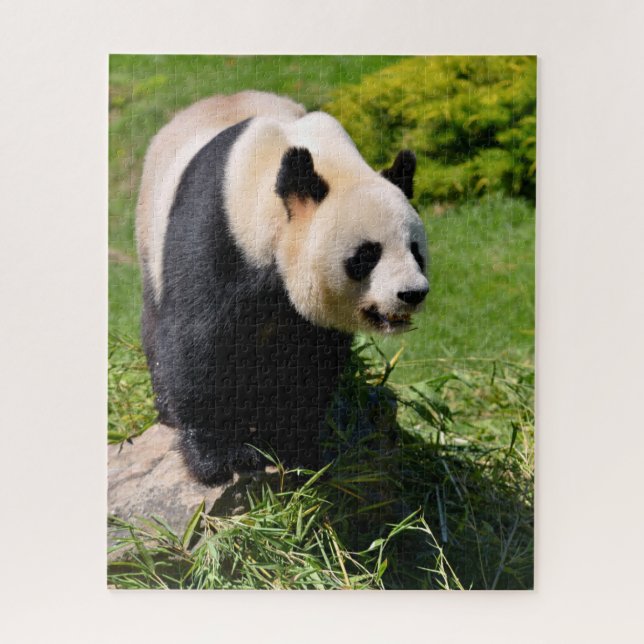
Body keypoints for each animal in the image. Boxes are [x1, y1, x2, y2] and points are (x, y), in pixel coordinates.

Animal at [136, 91, 429, 484]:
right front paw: (222, 458)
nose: (411, 293)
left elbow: (308, 360)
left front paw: (296, 448)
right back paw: (168, 411)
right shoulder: (220, 230)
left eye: (416, 251)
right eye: (367, 255)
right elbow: (198, 342)